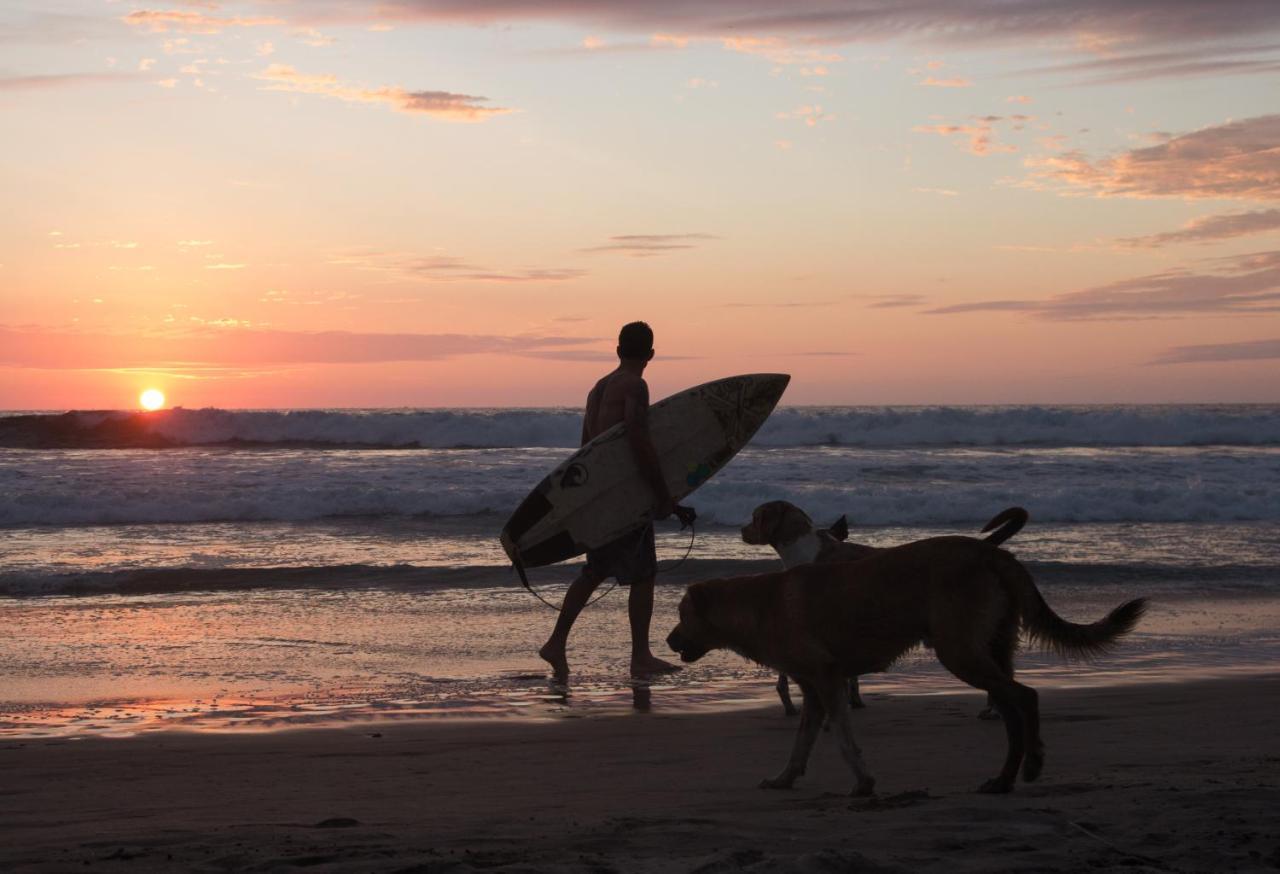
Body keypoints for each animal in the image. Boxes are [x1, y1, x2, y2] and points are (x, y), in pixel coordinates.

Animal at [665, 537, 1146, 798]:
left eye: (683, 614)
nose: (668, 642)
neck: (755, 607)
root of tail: (992, 553)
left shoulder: (827, 680)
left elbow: (844, 741)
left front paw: (863, 782)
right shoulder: (813, 690)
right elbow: (801, 745)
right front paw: (786, 779)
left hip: (959, 651)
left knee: (1024, 697)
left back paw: (1029, 764)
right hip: (989, 647)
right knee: (1011, 707)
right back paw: (1005, 778)